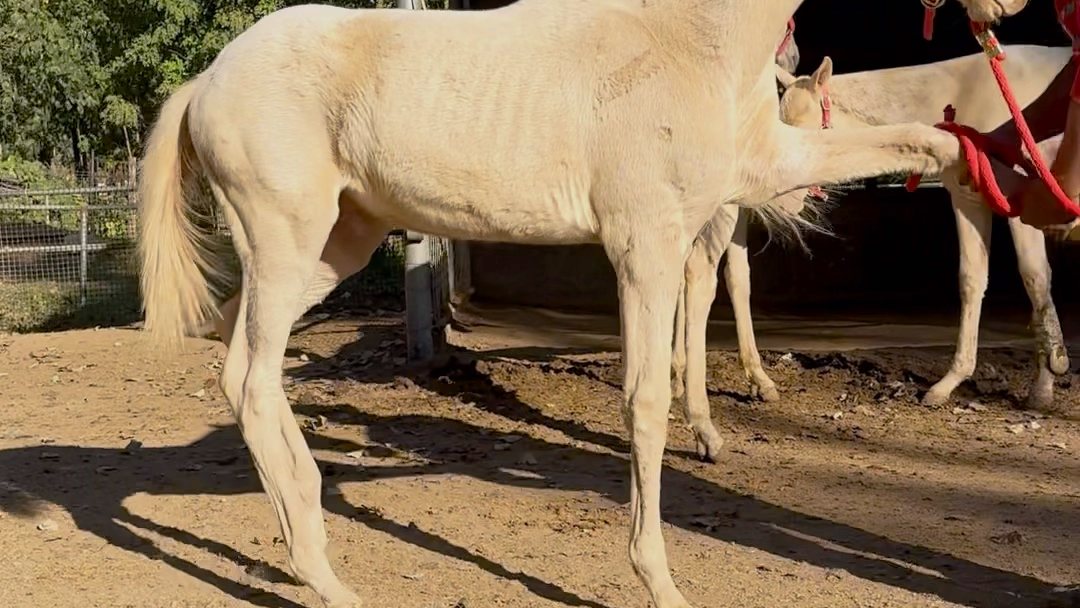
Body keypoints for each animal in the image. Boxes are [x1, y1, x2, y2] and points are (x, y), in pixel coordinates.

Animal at [137, 1, 1022, 606]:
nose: (1006, 10)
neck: (685, 38)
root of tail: (207, 80)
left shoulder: (759, 172)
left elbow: (909, 142)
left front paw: (984, 165)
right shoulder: (646, 244)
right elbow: (646, 402)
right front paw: (659, 581)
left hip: (330, 249)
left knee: (244, 367)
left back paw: (307, 537)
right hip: (288, 244)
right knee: (251, 383)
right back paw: (325, 576)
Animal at [776, 45, 1071, 413]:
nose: (780, 205)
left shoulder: (1024, 205)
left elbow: (1036, 278)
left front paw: (1047, 380)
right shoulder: (968, 200)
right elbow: (972, 279)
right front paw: (949, 382)